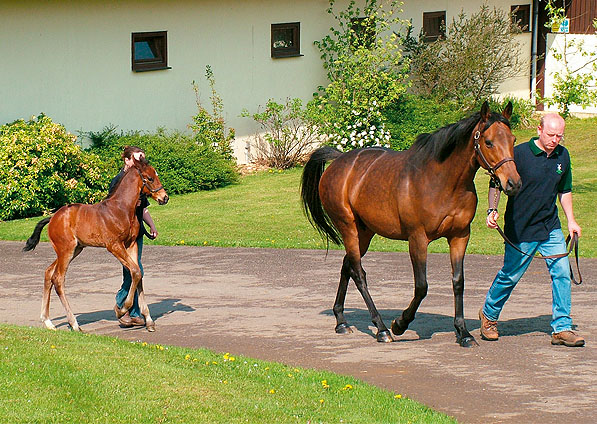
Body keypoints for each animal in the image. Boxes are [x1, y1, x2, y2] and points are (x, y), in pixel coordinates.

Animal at [23, 157, 168, 332]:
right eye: (150, 178)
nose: (165, 197)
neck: (122, 209)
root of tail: (52, 218)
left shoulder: (132, 244)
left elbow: (138, 273)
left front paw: (148, 320)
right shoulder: (114, 246)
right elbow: (135, 271)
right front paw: (121, 310)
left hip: (74, 249)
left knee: (48, 273)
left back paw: (47, 321)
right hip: (66, 250)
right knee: (58, 279)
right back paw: (74, 324)